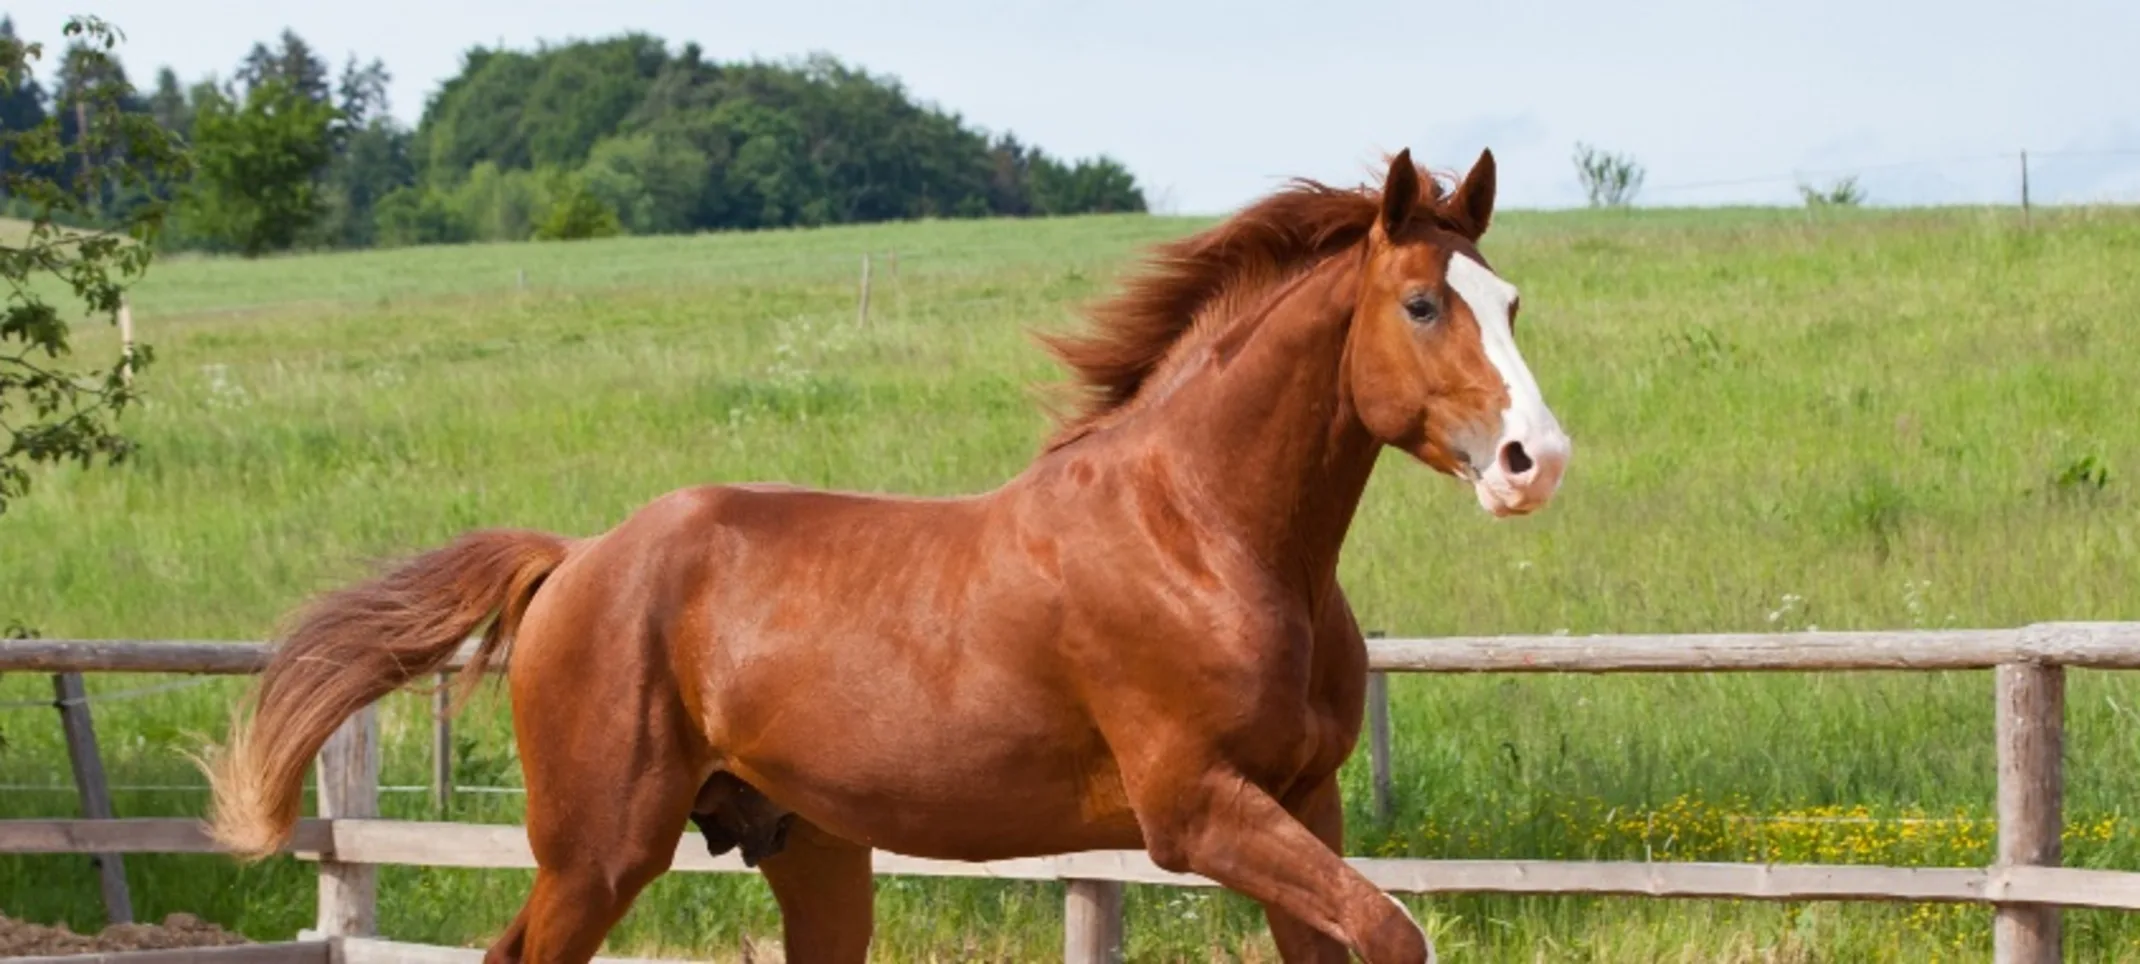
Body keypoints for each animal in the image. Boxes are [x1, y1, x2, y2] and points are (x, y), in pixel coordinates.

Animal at [201, 146, 1575, 959]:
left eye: (1510, 301)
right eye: (1420, 303)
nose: (1534, 459)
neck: (1204, 538)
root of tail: (579, 557)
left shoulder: (1305, 801)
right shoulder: (1196, 812)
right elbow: (1393, 931)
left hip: (805, 845)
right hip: (598, 849)